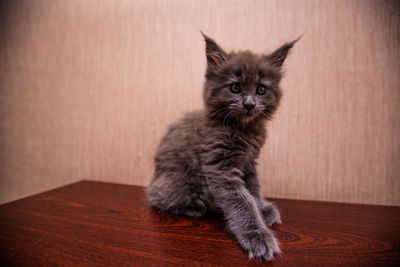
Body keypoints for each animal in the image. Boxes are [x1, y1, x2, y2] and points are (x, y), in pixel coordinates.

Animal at [147, 31, 296, 262]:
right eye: (235, 87)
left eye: (261, 90)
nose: (249, 104)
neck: (244, 130)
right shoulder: (220, 166)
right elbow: (242, 201)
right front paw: (257, 236)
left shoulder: (249, 163)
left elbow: (253, 189)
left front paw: (262, 209)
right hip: (182, 185)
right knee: (157, 198)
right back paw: (196, 209)